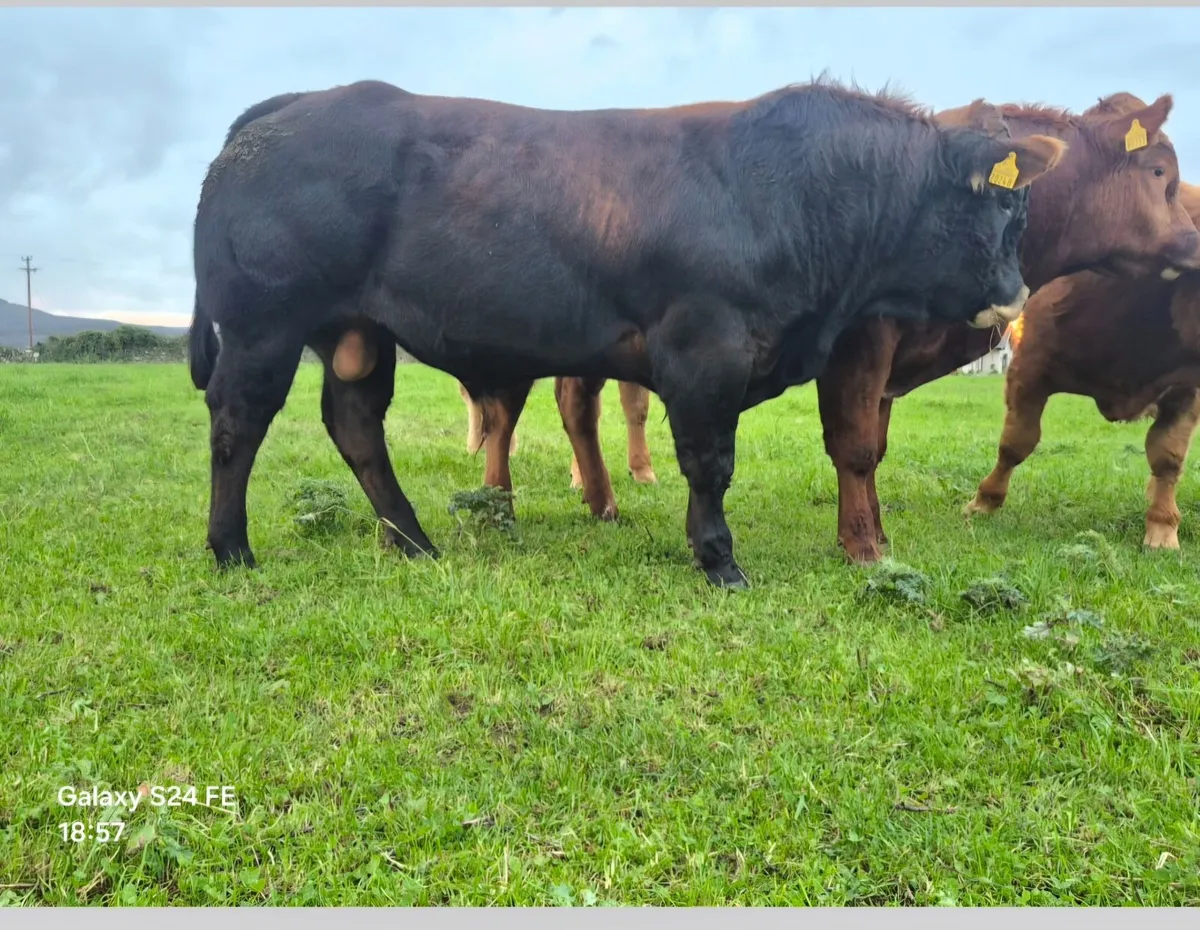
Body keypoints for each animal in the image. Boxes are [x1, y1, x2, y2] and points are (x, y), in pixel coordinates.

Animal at [966, 181, 1200, 549]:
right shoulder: (1031, 367)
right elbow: (1016, 442)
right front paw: (985, 501)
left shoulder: (1186, 390)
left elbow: (1168, 457)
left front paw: (1162, 528)